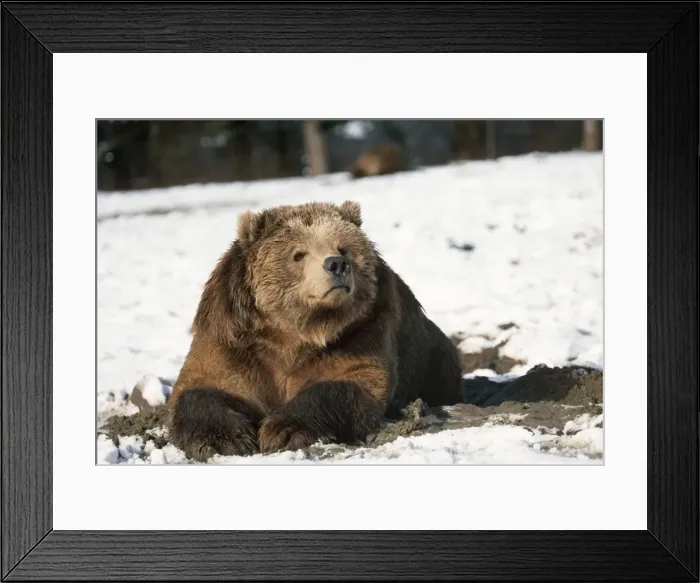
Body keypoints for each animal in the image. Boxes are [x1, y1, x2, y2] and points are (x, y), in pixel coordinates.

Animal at [167, 200, 462, 462]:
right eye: (298, 254)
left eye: (343, 248)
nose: (337, 264)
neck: (293, 331)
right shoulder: (231, 343)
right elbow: (203, 389)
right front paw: (226, 440)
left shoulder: (360, 333)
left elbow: (347, 382)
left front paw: (282, 430)